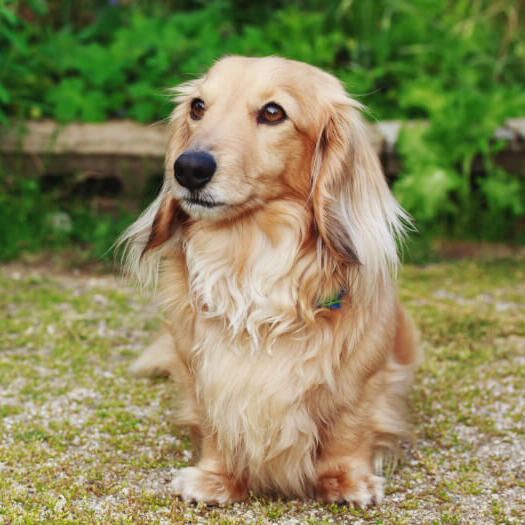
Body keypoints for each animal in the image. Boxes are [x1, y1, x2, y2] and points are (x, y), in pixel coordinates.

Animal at [118, 55, 418, 506]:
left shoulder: (365, 377)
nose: (187, 168)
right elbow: (215, 425)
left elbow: (349, 428)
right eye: (198, 107)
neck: (248, 256)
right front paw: (216, 478)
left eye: (273, 112)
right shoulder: (206, 374)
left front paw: (347, 479)